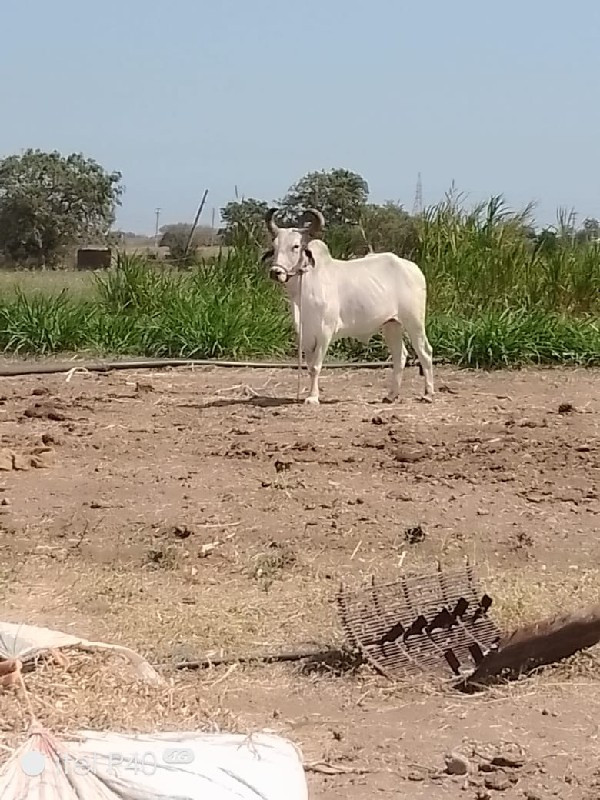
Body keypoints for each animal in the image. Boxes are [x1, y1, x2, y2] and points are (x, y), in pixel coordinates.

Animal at [260, 206, 434, 406]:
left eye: (295, 246)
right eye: (274, 247)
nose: (275, 272)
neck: (306, 288)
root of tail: (413, 268)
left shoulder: (325, 332)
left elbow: (316, 366)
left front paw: (312, 397)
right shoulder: (305, 334)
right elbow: (310, 366)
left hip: (414, 322)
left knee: (425, 351)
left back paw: (428, 393)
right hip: (391, 324)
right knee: (400, 356)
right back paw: (391, 395)